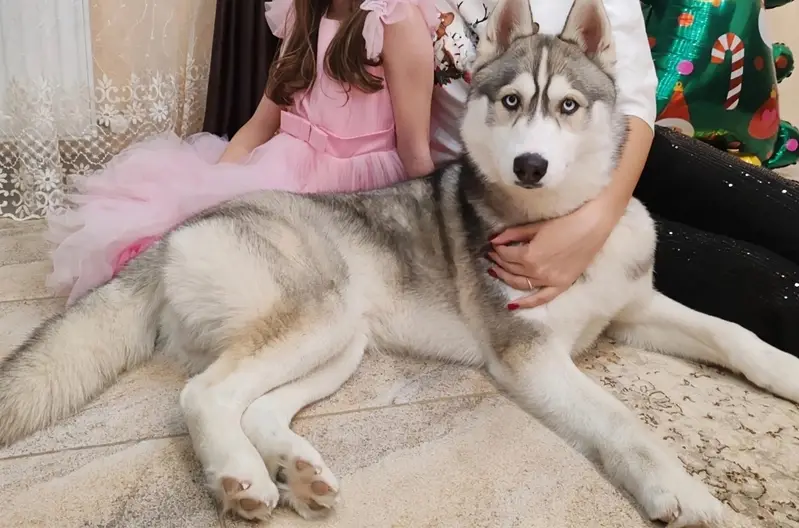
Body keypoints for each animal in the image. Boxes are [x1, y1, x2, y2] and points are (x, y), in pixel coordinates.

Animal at [2, 0, 798, 525]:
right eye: (512, 101)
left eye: (569, 106)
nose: (530, 165)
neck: (561, 223)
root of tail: (176, 231)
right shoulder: (530, 356)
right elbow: (627, 422)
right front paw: (688, 494)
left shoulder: (632, 308)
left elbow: (732, 333)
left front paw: (785, 371)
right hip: (315, 313)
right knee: (204, 394)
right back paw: (241, 479)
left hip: (341, 341)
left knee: (254, 404)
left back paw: (296, 471)